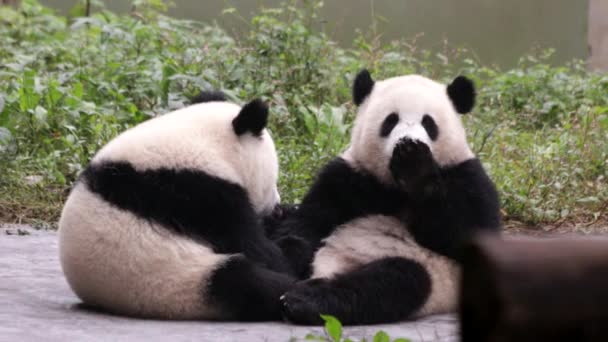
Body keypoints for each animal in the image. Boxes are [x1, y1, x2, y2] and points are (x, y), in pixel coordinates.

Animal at [274, 70, 502, 326]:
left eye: (428, 123)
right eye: (391, 121)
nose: (408, 141)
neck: (396, 187)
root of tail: (327, 269)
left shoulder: (466, 176)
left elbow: (465, 232)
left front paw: (414, 162)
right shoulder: (350, 176)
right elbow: (310, 219)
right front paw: (287, 252)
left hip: (433, 276)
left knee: (393, 281)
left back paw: (303, 299)